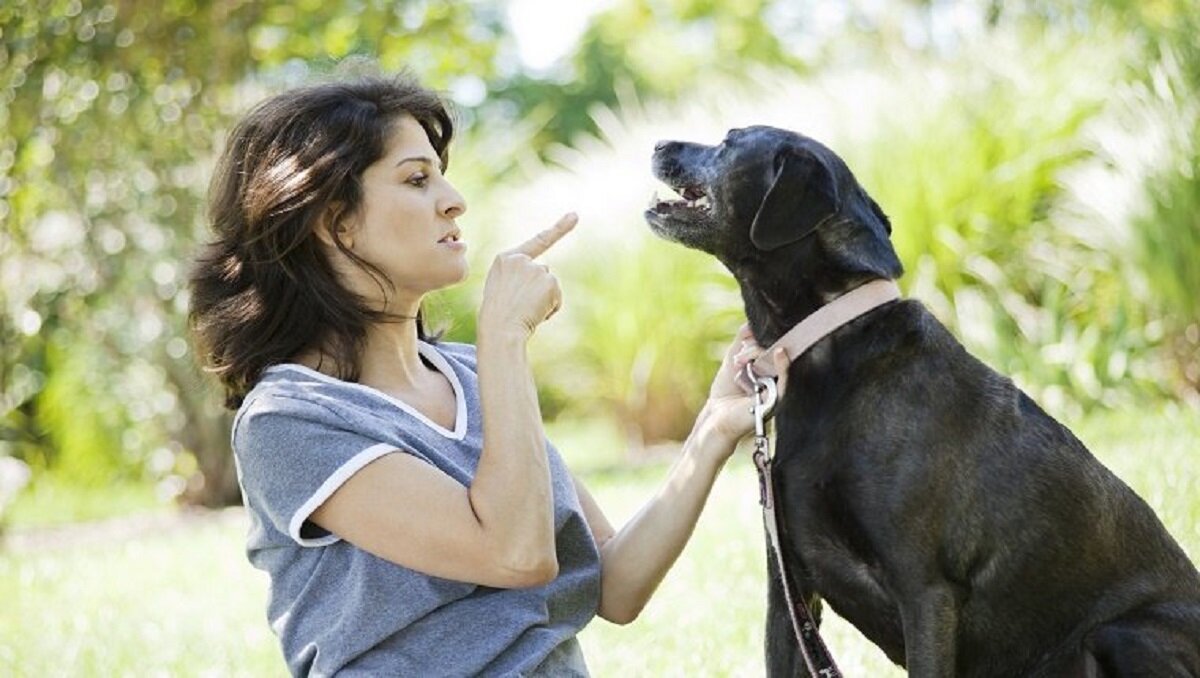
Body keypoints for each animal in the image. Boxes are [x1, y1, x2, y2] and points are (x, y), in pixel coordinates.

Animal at [648, 125, 1200, 672]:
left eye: (729, 141)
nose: (657, 144)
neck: (830, 338)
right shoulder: (789, 595)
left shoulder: (925, 591)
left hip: (1120, 632)